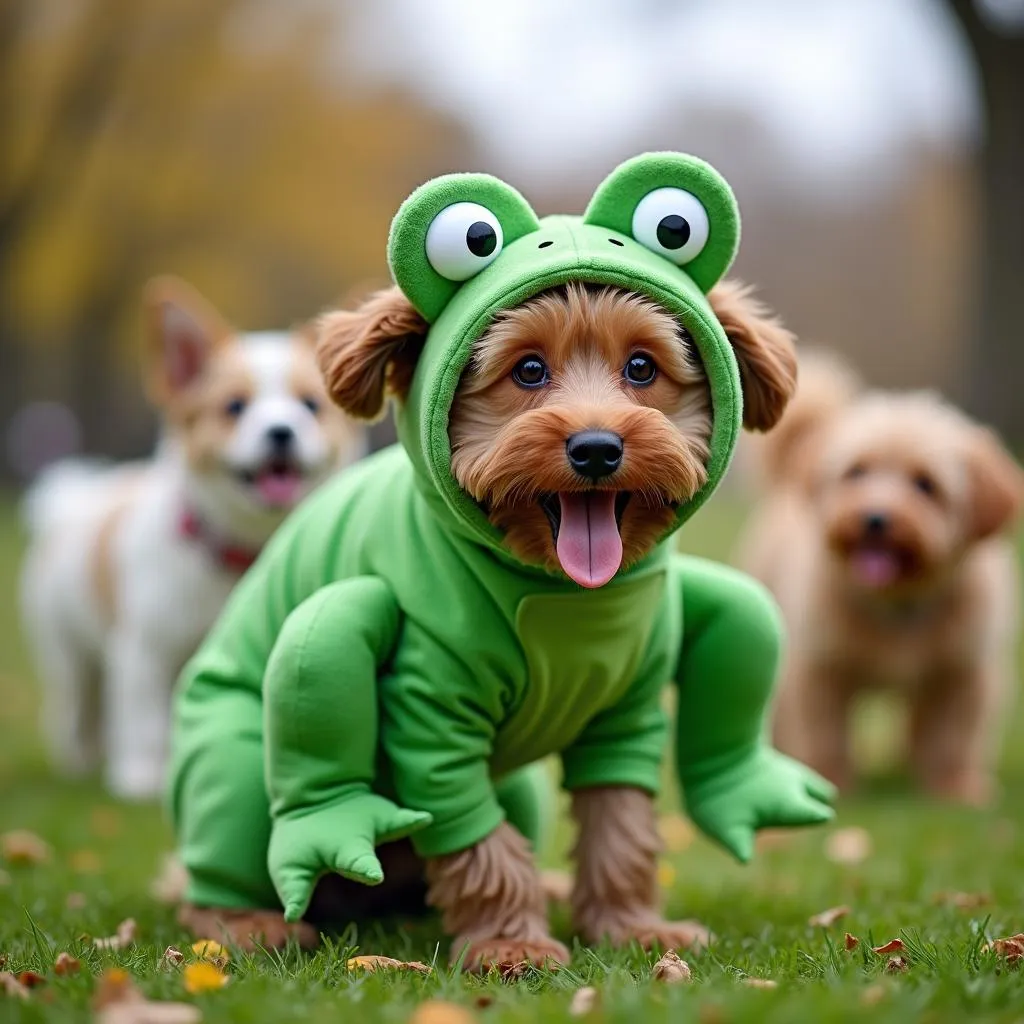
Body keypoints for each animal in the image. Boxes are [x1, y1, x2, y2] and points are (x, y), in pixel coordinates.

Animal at [19, 278, 366, 798]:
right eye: (234, 407)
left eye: (311, 405)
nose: (281, 432)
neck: (243, 556)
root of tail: (79, 497)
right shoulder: (145, 650)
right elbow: (143, 719)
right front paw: (142, 779)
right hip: (68, 649)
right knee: (77, 706)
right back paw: (79, 758)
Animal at [737, 356, 1024, 802]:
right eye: (857, 472)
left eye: (925, 484)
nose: (875, 518)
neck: (896, 601)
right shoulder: (823, 666)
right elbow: (825, 732)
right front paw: (831, 778)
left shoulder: (961, 670)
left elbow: (952, 735)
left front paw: (954, 787)